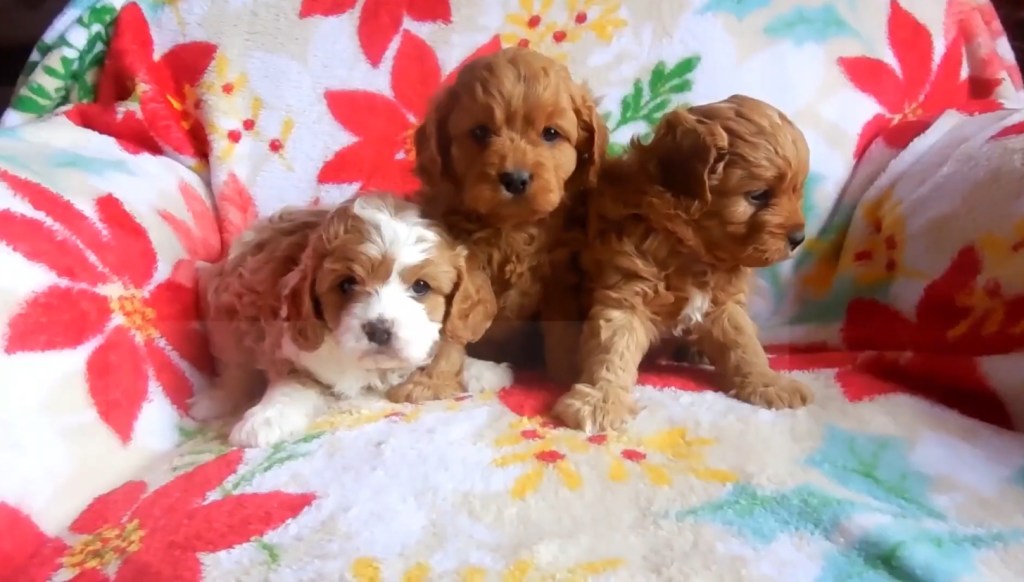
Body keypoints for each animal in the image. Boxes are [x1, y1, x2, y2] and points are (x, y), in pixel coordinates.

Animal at [188, 194, 507, 444]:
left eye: (421, 287)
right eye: (346, 285)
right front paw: (265, 418)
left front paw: (482, 370)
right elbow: (291, 383)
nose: (379, 331)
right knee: (235, 369)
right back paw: (213, 401)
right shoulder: (285, 344)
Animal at [557, 94, 811, 432]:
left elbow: (745, 344)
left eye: (797, 191)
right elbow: (612, 349)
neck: (692, 247)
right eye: (758, 195)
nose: (799, 237)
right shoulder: (627, 291)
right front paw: (600, 399)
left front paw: (768, 382)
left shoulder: (723, 305)